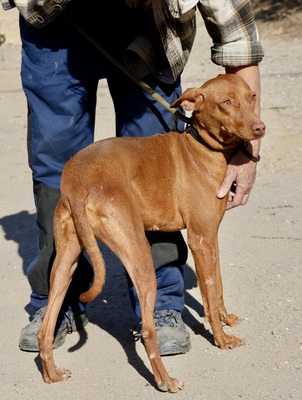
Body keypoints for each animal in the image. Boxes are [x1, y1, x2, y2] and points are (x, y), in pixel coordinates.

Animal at [38, 73, 266, 392]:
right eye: (226, 103)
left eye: (251, 97)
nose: (260, 128)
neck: (200, 148)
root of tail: (76, 180)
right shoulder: (200, 239)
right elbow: (209, 297)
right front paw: (221, 338)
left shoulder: (211, 238)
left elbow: (217, 285)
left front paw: (227, 318)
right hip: (140, 259)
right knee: (147, 331)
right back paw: (165, 379)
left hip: (66, 261)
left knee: (46, 327)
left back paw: (51, 373)